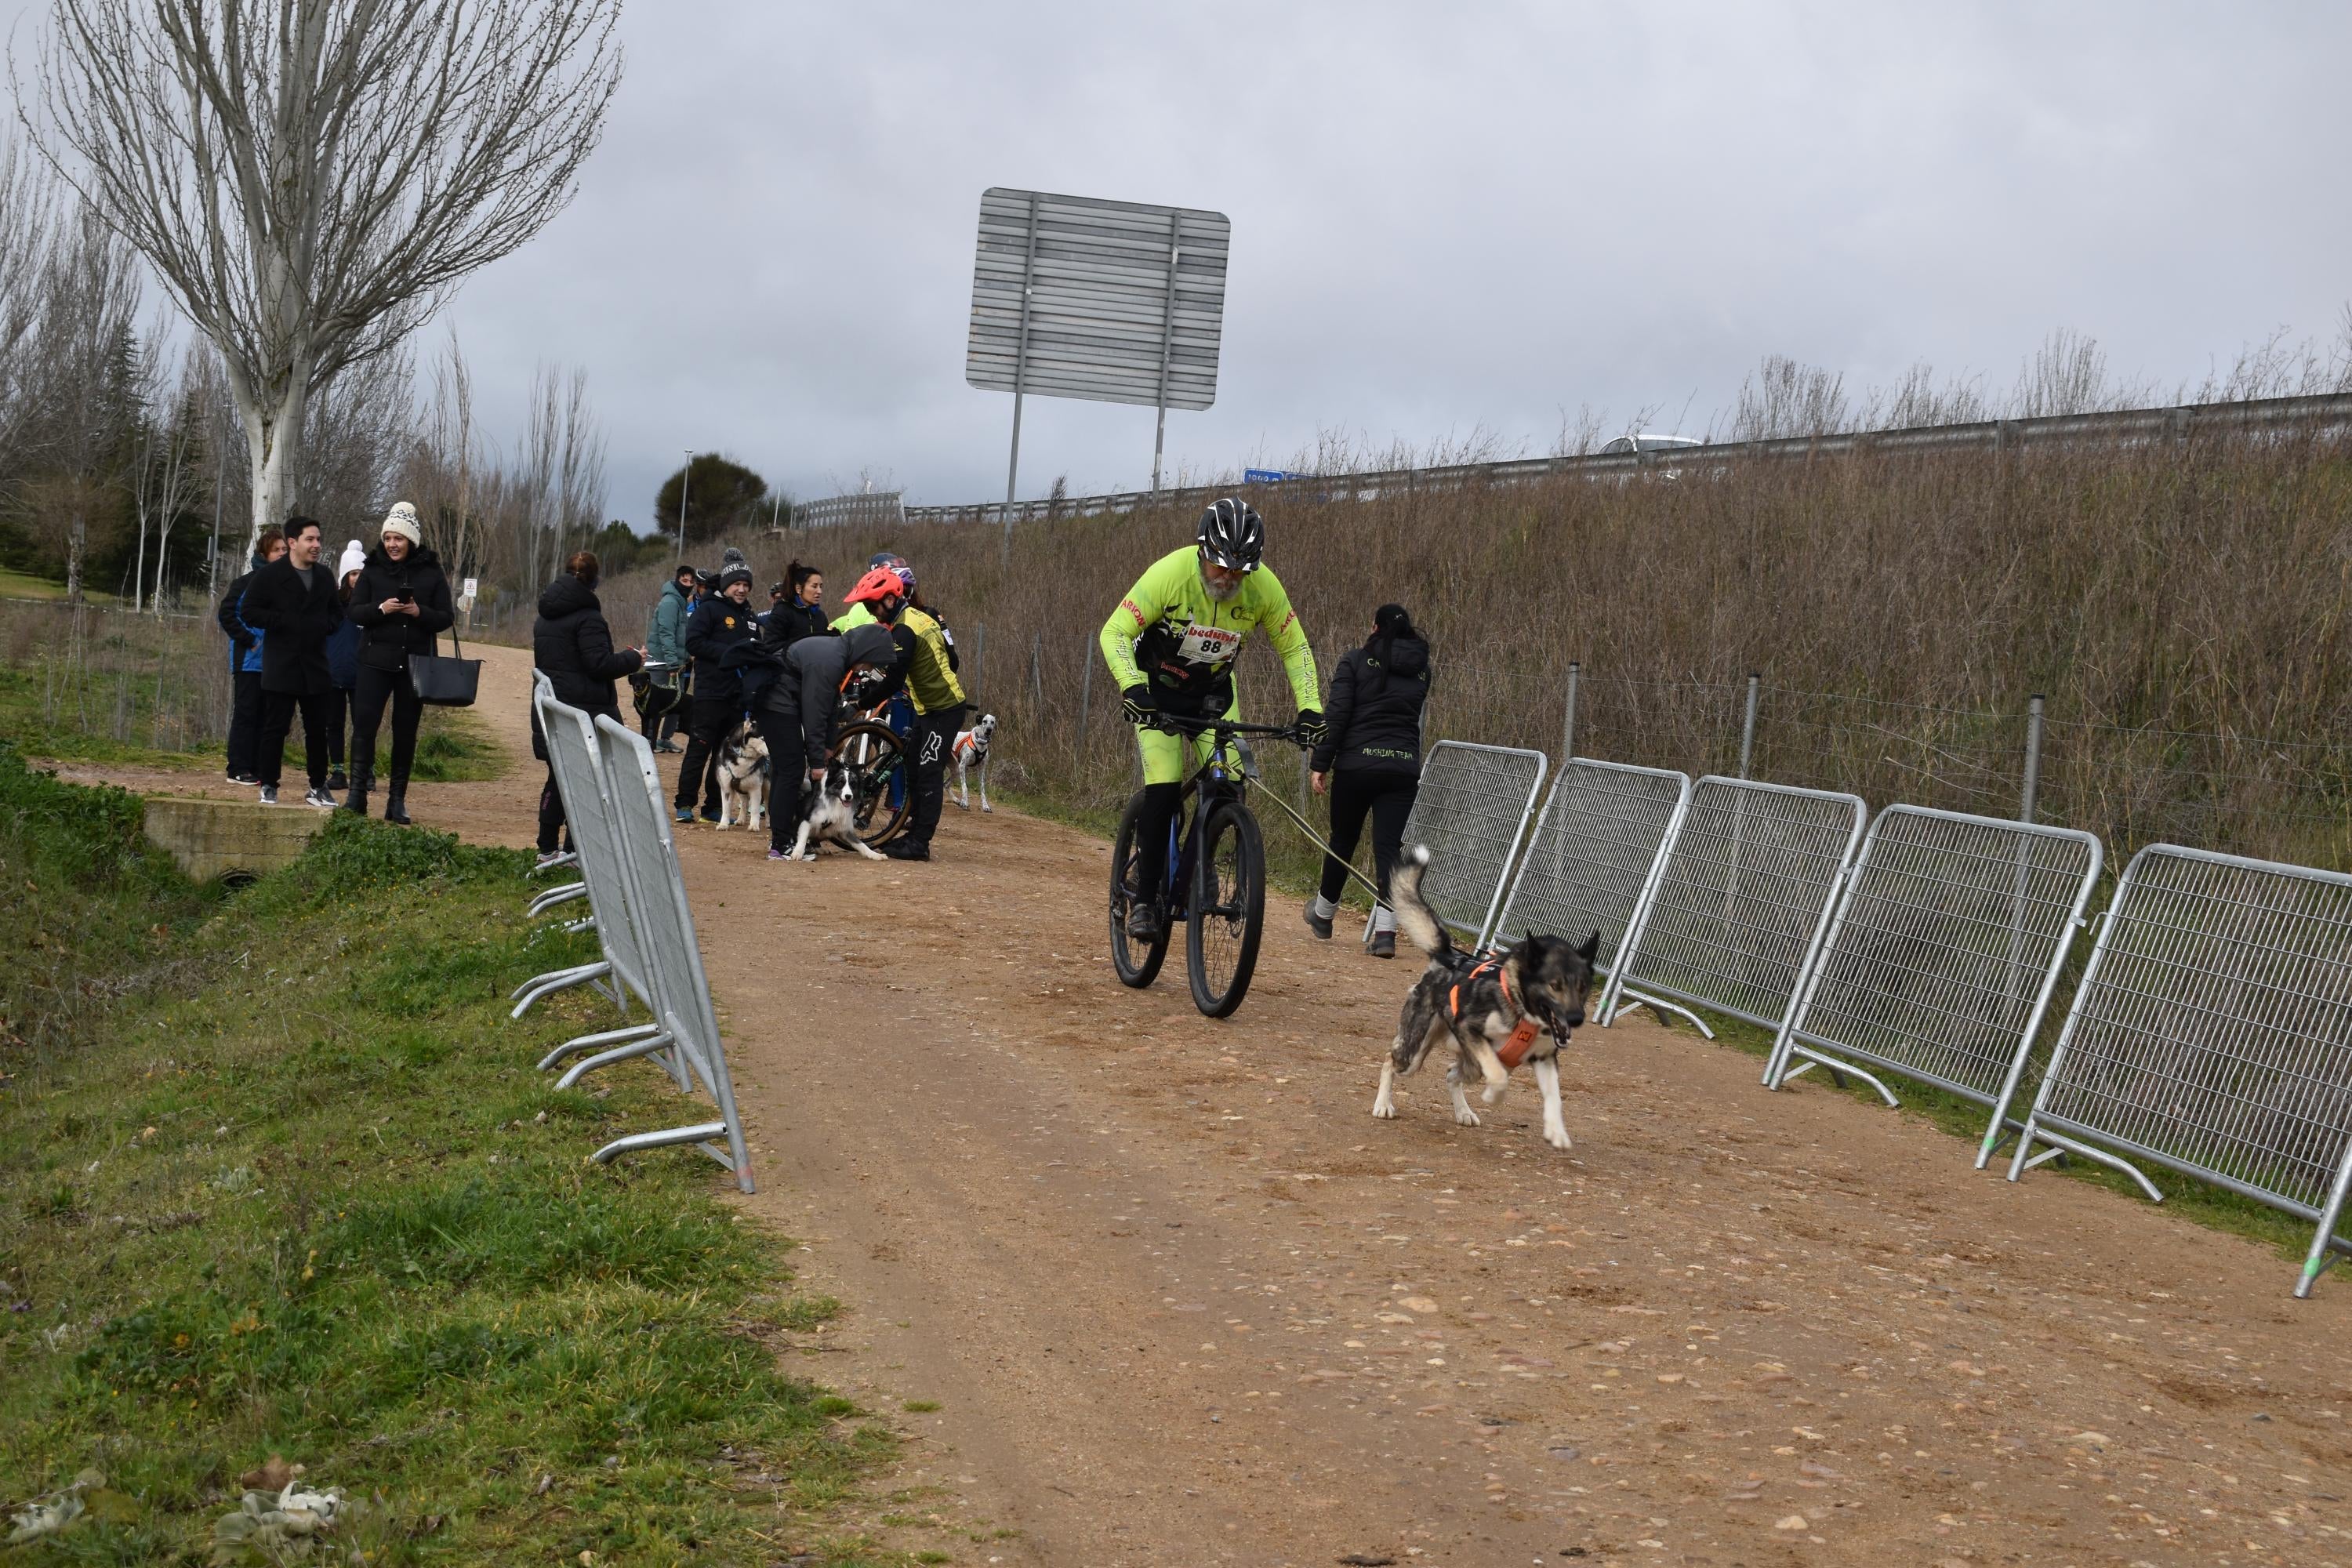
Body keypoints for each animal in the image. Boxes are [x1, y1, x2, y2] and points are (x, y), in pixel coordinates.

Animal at [710, 724, 767, 832]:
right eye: (762, 739)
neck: (743, 757)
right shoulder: (726, 788)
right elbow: (726, 809)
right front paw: (723, 825)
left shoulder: (756, 788)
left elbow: (755, 809)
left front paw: (754, 825)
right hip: (741, 788)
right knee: (744, 803)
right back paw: (741, 820)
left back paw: (769, 823)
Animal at [786, 761, 884, 869]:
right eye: (840, 782)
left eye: (853, 784)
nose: (848, 796)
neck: (837, 803)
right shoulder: (807, 821)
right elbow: (803, 838)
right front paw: (798, 852)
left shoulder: (845, 830)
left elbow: (861, 844)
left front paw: (875, 855)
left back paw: (820, 849)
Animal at [1374, 846, 1609, 1152]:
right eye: (1554, 985)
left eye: (1583, 987)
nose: (1576, 1019)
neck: (1524, 1010)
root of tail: (1449, 957)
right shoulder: (1472, 1031)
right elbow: (1498, 1077)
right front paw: (1492, 1097)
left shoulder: (1545, 1057)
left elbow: (1554, 1096)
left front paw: (1557, 1131)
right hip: (1415, 1053)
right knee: (1390, 1060)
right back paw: (1383, 1105)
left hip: (1470, 1064)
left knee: (1452, 1073)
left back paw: (1463, 1112)